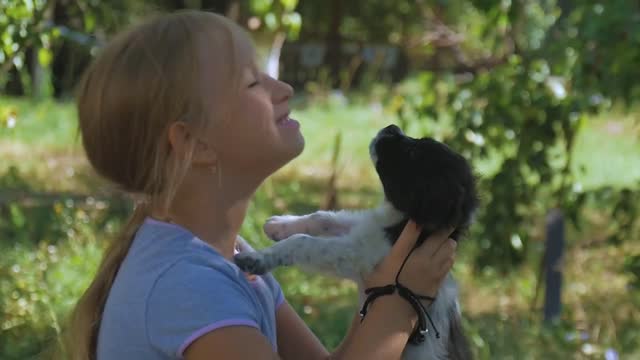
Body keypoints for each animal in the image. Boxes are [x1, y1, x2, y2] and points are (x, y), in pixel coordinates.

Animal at [235, 124, 480, 360]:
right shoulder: (362, 230)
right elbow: (321, 217)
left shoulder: (358, 254)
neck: (401, 220)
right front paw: (279, 225)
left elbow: (303, 242)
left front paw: (256, 258)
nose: (391, 127)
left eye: (412, 153)